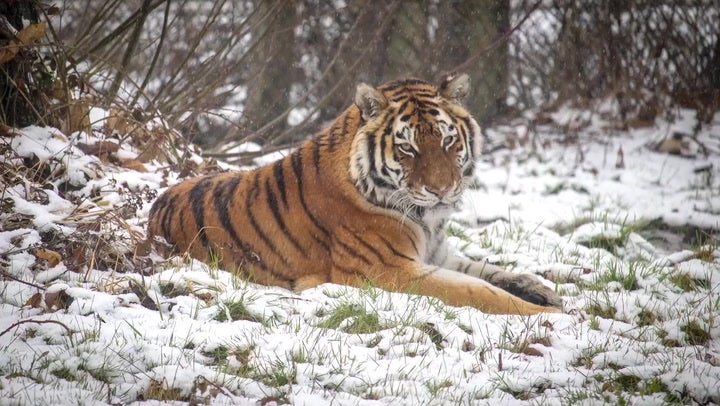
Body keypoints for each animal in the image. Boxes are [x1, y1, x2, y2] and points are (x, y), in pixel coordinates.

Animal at [146, 73, 564, 314]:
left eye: (448, 141)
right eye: (408, 148)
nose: (442, 190)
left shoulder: (437, 254)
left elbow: (490, 272)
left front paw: (543, 291)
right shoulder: (388, 270)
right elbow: (478, 291)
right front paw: (548, 316)